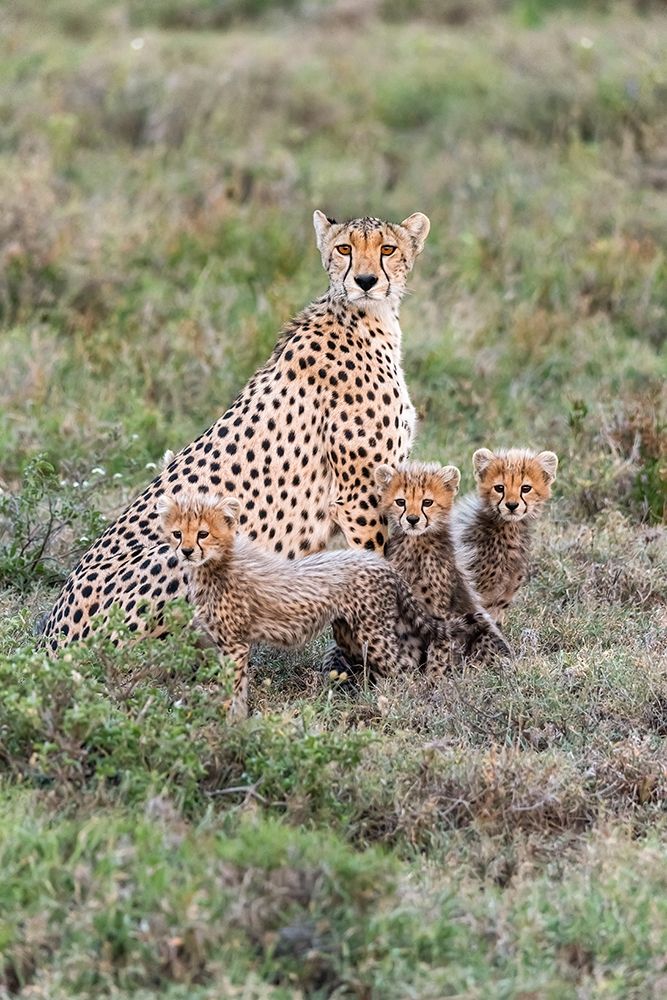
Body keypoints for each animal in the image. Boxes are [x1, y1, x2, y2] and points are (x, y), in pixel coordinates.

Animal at [41, 210, 430, 651]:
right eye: (344, 248)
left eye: (388, 248)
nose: (365, 281)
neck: (366, 317)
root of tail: (49, 640)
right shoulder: (358, 495)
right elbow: (376, 564)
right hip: (178, 551)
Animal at [157, 490, 450, 719]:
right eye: (177, 534)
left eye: (203, 534)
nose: (186, 551)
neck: (213, 566)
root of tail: (382, 563)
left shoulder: (235, 644)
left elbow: (234, 686)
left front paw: (231, 721)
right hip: (348, 631)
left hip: (374, 634)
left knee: (404, 668)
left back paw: (403, 705)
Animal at [374, 460, 512, 671]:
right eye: (400, 502)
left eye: (427, 502)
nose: (412, 520)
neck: (415, 546)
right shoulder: (405, 614)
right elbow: (408, 649)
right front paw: (407, 676)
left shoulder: (441, 616)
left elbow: (439, 654)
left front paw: (434, 677)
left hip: (481, 629)